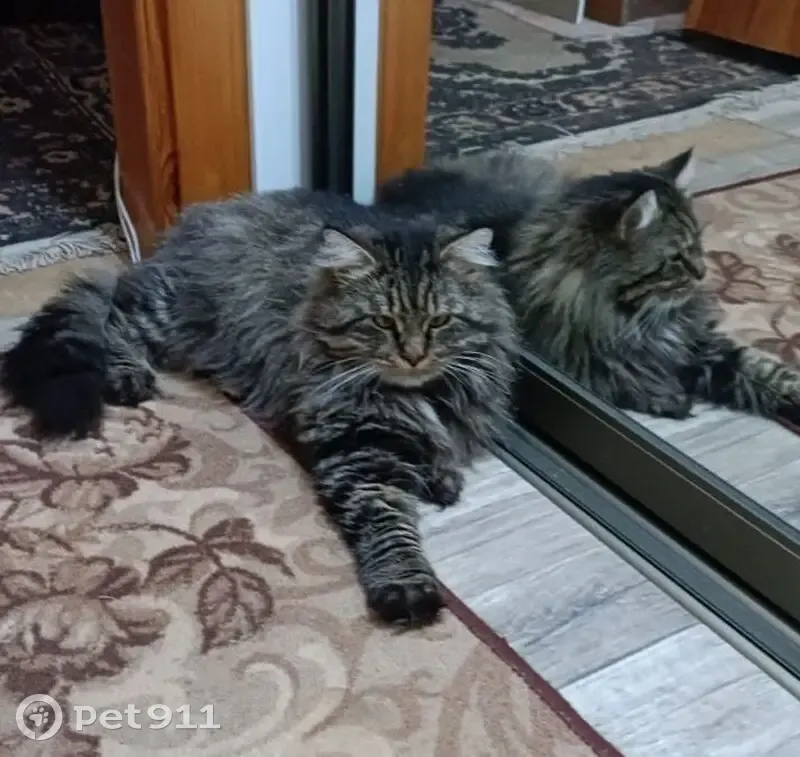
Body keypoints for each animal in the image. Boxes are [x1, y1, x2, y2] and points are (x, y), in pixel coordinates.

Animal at [1, 188, 518, 626]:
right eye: (382, 322)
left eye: (439, 322)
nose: (413, 355)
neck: (419, 394)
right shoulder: (358, 449)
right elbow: (388, 525)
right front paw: (407, 585)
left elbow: (443, 446)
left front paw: (441, 473)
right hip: (168, 315)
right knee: (115, 320)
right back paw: (128, 372)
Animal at [377, 148, 800, 423]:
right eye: (677, 258)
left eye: (698, 246)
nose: (702, 273)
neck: (631, 320)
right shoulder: (589, 365)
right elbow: (626, 380)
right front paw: (670, 398)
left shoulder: (701, 345)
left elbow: (766, 372)